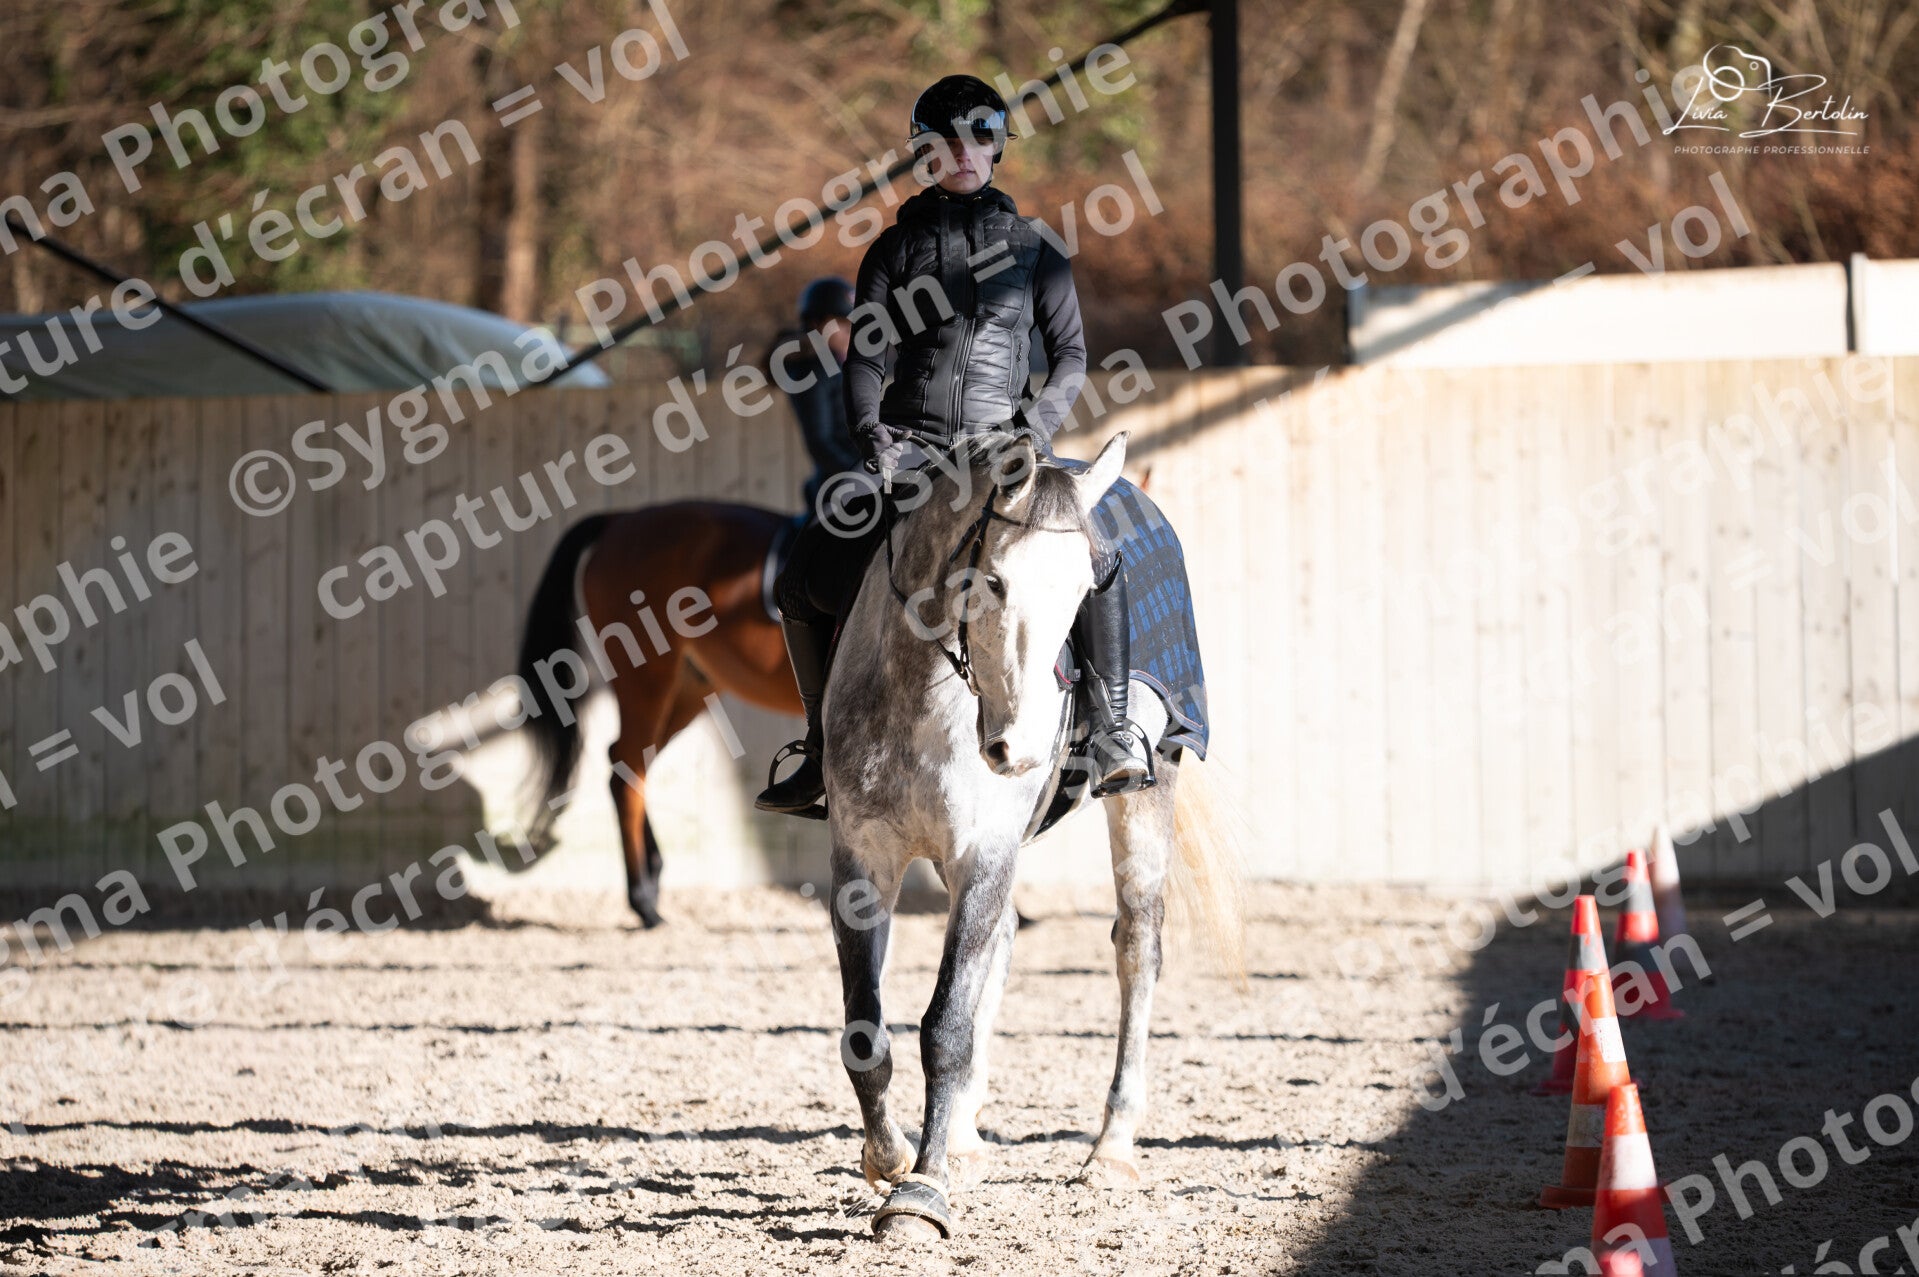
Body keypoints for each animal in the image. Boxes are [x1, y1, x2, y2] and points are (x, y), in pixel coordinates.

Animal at [514, 501, 800, 927]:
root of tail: (620, 519)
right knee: (628, 772)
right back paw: (644, 902)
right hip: (647, 678)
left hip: (691, 686)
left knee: (626, 762)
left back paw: (652, 874)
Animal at [821, 429, 1243, 1242]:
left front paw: (921, 1193)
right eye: (992, 582)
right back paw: (961, 1135)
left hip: (1149, 791)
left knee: (1137, 948)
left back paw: (1110, 1151)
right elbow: (864, 1030)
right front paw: (890, 1157)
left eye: (1085, 592)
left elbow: (946, 1026)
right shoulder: (863, 858)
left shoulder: (983, 849)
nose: (1018, 749)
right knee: (1005, 940)